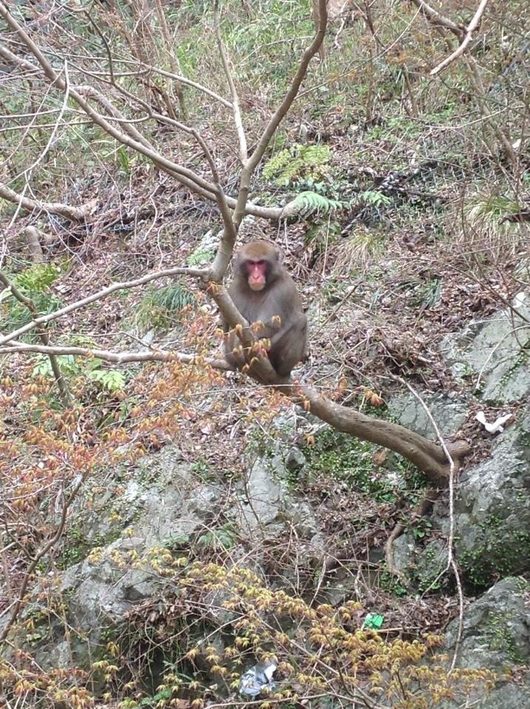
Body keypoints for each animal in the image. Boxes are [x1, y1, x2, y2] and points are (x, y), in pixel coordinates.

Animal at [222, 241, 306, 378]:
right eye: (251, 263)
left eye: (261, 263)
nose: (256, 276)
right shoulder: (234, 289)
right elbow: (226, 327)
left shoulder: (281, 291)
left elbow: (270, 325)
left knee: (301, 323)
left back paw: (281, 370)